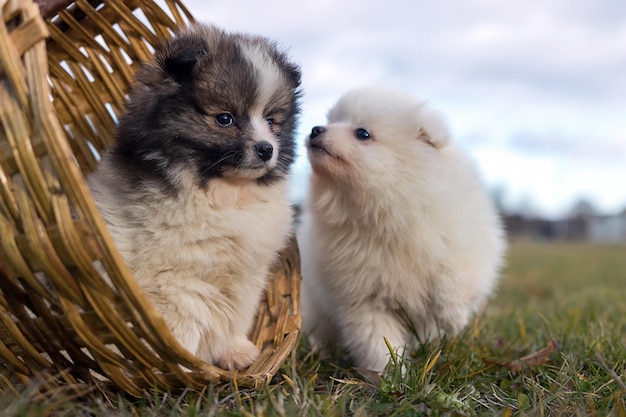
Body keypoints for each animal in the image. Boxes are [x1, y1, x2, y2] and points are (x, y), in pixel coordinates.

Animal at [89, 22, 302, 368]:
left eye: (272, 122)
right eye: (225, 118)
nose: (266, 149)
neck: (225, 195)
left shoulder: (246, 276)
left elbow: (235, 316)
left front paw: (235, 351)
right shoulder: (174, 282)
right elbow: (189, 320)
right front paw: (182, 364)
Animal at [294, 85, 504, 370]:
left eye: (362, 133)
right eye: (331, 121)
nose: (316, 129)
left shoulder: (463, 241)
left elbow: (454, 279)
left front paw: (453, 319)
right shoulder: (364, 298)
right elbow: (377, 341)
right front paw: (391, 373)